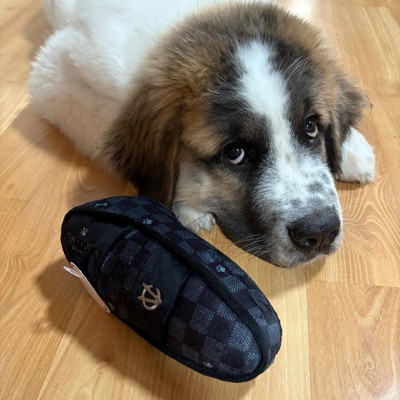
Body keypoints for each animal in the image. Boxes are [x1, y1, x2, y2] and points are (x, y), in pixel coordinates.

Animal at [29, 0, 375, 267]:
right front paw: (189, 207)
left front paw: (352, 151)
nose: (320, 233)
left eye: (311, 126)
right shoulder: (53, 77)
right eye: (235, 153)